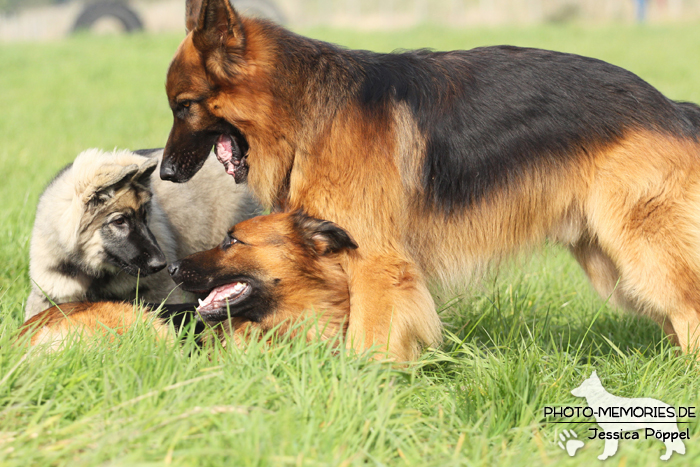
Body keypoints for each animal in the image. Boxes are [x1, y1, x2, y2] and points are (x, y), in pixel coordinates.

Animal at [160, 0, 700, 362]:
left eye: (184, 106)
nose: (164, 172)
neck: (308, 107)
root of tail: (674, 108)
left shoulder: (375, 261)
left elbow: (367, 339)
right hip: (611, 261)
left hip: (644, 252)